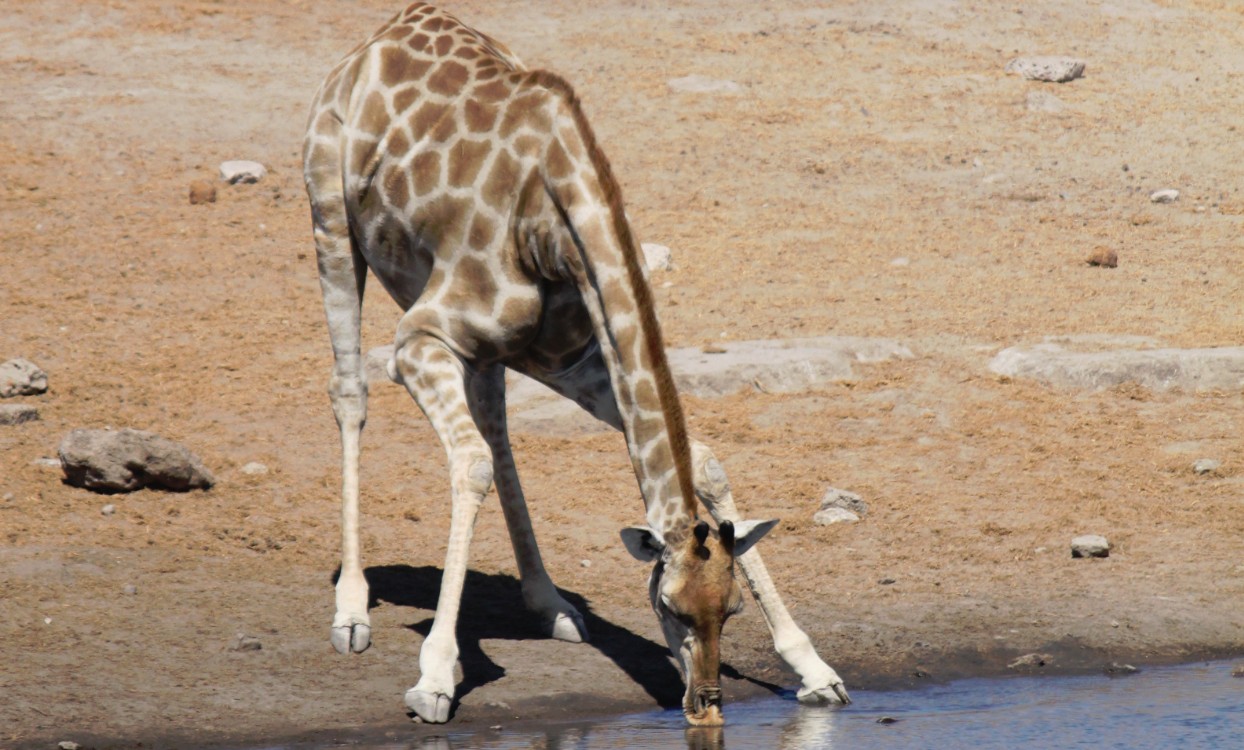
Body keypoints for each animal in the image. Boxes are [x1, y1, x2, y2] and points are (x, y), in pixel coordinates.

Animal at [302, 1, 850, 726]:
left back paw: (550, 603)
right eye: (669, 608)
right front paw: (435, 678)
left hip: (495, 351)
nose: (705, 706)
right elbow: (469, 464)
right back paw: (352, 610)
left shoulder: (571, 357)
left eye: (730, 608)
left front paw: (814, 668)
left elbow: (701, 458)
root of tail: (376, 38)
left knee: (497, 429)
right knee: (351, 392)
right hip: (330, 219)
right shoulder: (417, 341)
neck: (550, 217)